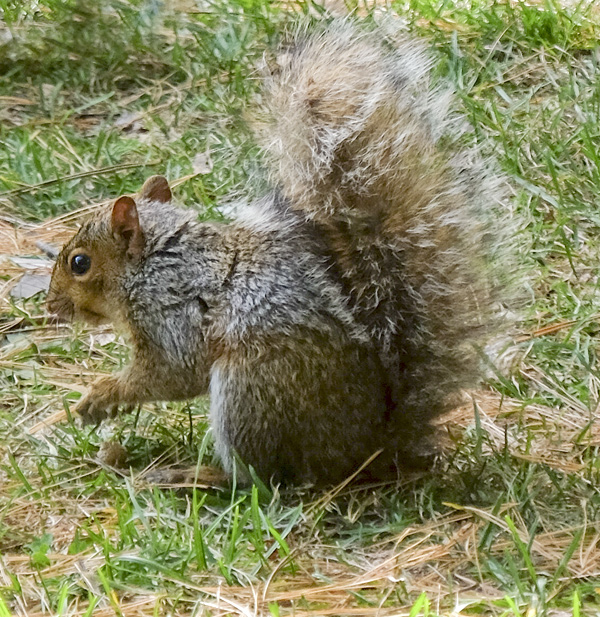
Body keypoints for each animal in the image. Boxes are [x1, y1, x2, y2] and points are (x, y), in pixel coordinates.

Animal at [45, 19, 510, 486]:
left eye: (79, 263)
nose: (50, 306)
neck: (151, 264)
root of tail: (368, 449)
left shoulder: (171, 316)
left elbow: (172, 374)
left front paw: (100, 395)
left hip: (251, 392)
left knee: (261, 479)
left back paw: (196, 475)